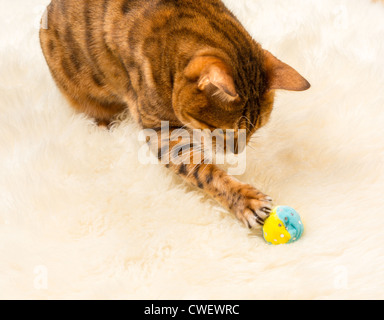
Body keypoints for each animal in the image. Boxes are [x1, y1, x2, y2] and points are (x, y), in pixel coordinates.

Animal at [39, 0, 308, 230]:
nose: (237, 151)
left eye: (255, 129)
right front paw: (244, 201)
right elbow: (203, 172)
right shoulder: (163, 133)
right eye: (224, 130)